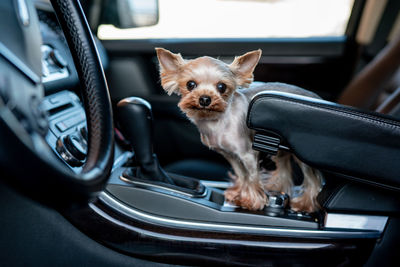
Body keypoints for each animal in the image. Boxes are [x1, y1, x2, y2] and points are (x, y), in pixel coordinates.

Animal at [155, 47, 324, 213]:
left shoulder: (247, 154)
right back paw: (276, 188)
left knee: (313, 179)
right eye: (190, 84)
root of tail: (319, 98)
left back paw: (305, 204)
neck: (219, 122)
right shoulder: (231, 155)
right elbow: (242, 175)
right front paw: (238, 194)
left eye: (221, 86)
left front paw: (252, 201)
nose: (204, 99)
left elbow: (252, 177)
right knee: (283, 169)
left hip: (302, 153)